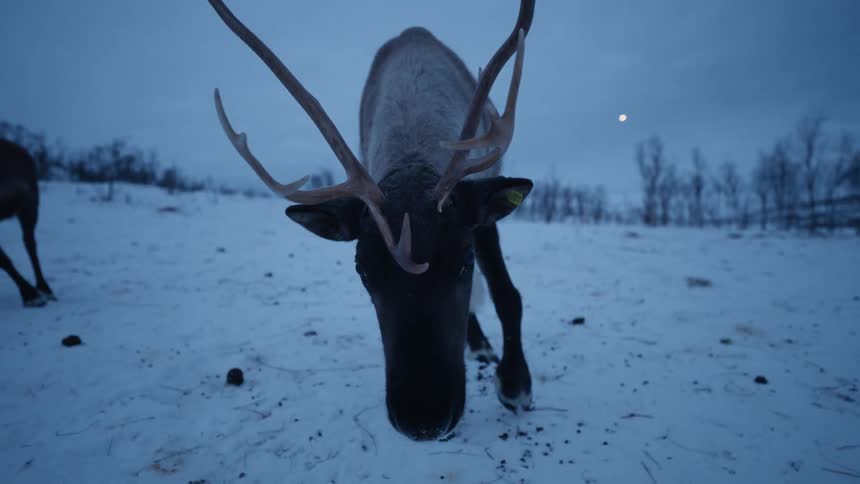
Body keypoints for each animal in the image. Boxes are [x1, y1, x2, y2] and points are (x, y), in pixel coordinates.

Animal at [208, 0, 535, 440]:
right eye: (362, 270)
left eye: (464, 262)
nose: (423, 420)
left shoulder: (479, 210)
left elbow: (505, 292)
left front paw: (516, 385)